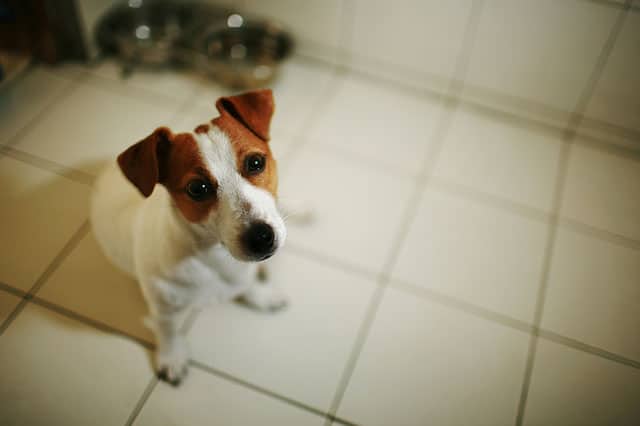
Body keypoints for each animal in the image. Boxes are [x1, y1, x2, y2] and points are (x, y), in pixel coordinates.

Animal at [90, 88, 288, 384]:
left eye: (255, 162)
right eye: (198, 188)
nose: (261, 237)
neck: (213, 255)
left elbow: (249, 284)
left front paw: (260, 295)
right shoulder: (164, 310)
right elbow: (169, 333)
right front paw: (172, 357)